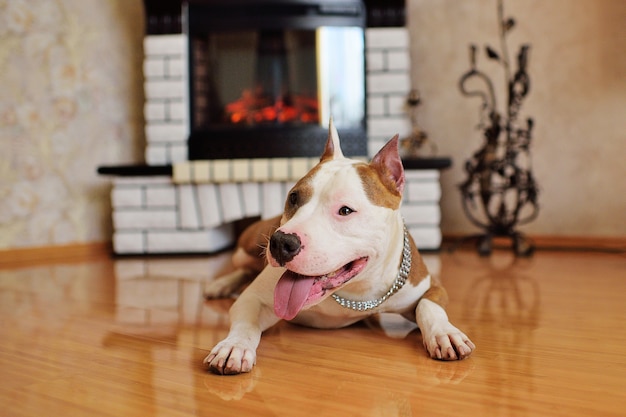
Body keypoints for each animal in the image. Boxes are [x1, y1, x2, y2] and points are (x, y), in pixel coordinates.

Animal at [205, 120, 472, 374]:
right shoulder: (253, 299)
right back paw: (220, 285)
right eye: (293, 197)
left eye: (345, 210)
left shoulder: (430, 286)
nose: (281, 242)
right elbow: (246, 324)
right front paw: (234, 346)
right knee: (242, 268)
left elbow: (429, 307)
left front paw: (445, 333)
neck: (353, 292)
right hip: (248, 246)